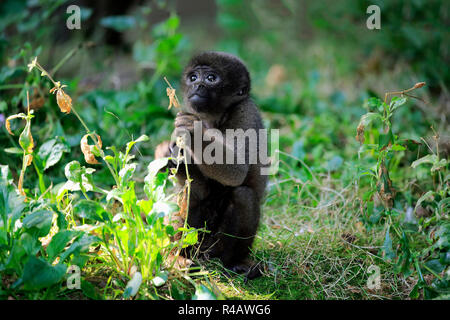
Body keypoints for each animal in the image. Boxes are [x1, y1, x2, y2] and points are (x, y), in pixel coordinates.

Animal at [155, 51, 268, 278]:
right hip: (195, 240)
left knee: (243, 195)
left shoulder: (245, 112)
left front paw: (194, 131)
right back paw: (176, 257)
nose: (197, 85)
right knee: (191, 195)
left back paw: (233, 261)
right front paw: (165, 152)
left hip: (216, 244)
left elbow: (236, 171)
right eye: (193, 77)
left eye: (210, 78)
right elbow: (193, 184)